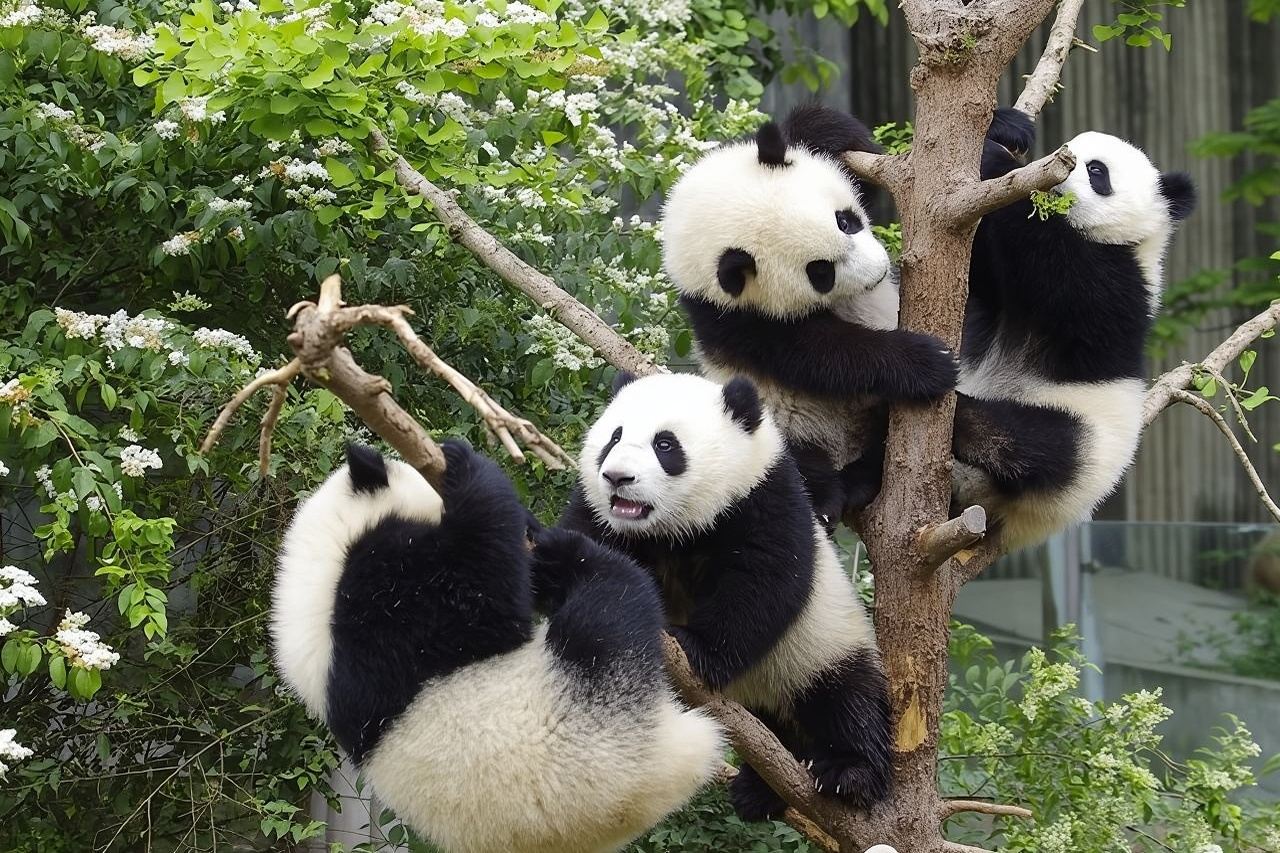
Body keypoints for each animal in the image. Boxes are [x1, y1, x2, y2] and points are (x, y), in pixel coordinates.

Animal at [270, 440, 723, 853]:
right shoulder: (383, 603)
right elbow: (484, 597)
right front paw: (469, 467)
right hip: (595, 713)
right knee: (609, 606)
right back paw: (576, 559)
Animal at [558, 372, 892, 820]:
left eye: (665, 445)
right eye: (614, 437)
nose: (617, 478)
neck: (673, 530)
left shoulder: (764, 498)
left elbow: (762, 584)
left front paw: (695, 649)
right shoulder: (602, 518)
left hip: (819, 647)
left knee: (846, 700)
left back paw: (846, 773)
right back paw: (760, 789)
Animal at [661, 104, 960, 528]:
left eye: (845, 221)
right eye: (821, 272)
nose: (880, 273)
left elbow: (830, 139)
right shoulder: (733, 319)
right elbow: (818, 355)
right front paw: (927, 362)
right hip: (777, 426)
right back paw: (830, 496)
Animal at [951, 109, 1197, 551]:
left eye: (1097, 170)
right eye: (1065, 149)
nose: (1051, 166)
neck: (1127, 241)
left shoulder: (1121, 287)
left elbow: (1062, 273)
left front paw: (997, 162)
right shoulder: (994, 288)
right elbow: (978, 267)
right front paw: (1006, 128)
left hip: (1088, 448)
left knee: (1038, 445)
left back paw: (963, 417)